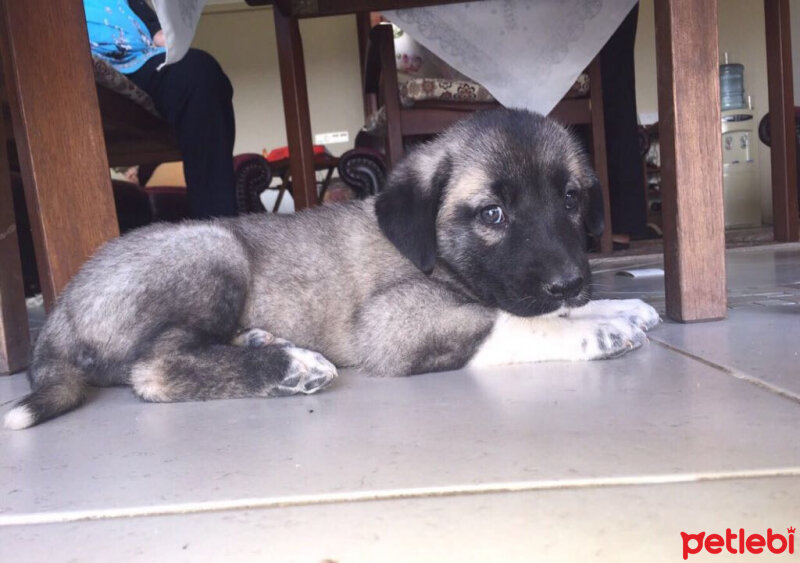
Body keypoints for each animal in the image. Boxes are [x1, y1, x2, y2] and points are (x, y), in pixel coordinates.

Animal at [3, 109, 660, 432]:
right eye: (493, 214)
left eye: (571, 199)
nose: (571, 281)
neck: (432, 253)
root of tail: (60, 312)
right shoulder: (397, 323)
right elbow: (511, 321)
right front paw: (598, 329)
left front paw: (619, 305)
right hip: (210, 246)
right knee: (153, 370)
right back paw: (288, 366)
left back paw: (261, 342)